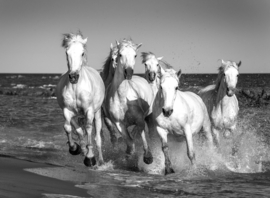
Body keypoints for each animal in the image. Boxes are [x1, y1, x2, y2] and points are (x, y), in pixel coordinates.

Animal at [55, 32, 104, 167]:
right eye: (67, 52)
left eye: (82, 53)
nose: (73, 77)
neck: (76, 88)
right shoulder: (66, 111)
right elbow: (68, 128)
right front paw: (74, 148)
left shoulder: (89, 111)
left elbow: (88, 129)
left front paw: (90, 158)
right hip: (75, 116)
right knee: (79, 131)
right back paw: (82, 150)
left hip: (97, 114)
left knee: (98, 137)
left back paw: (100, 161)